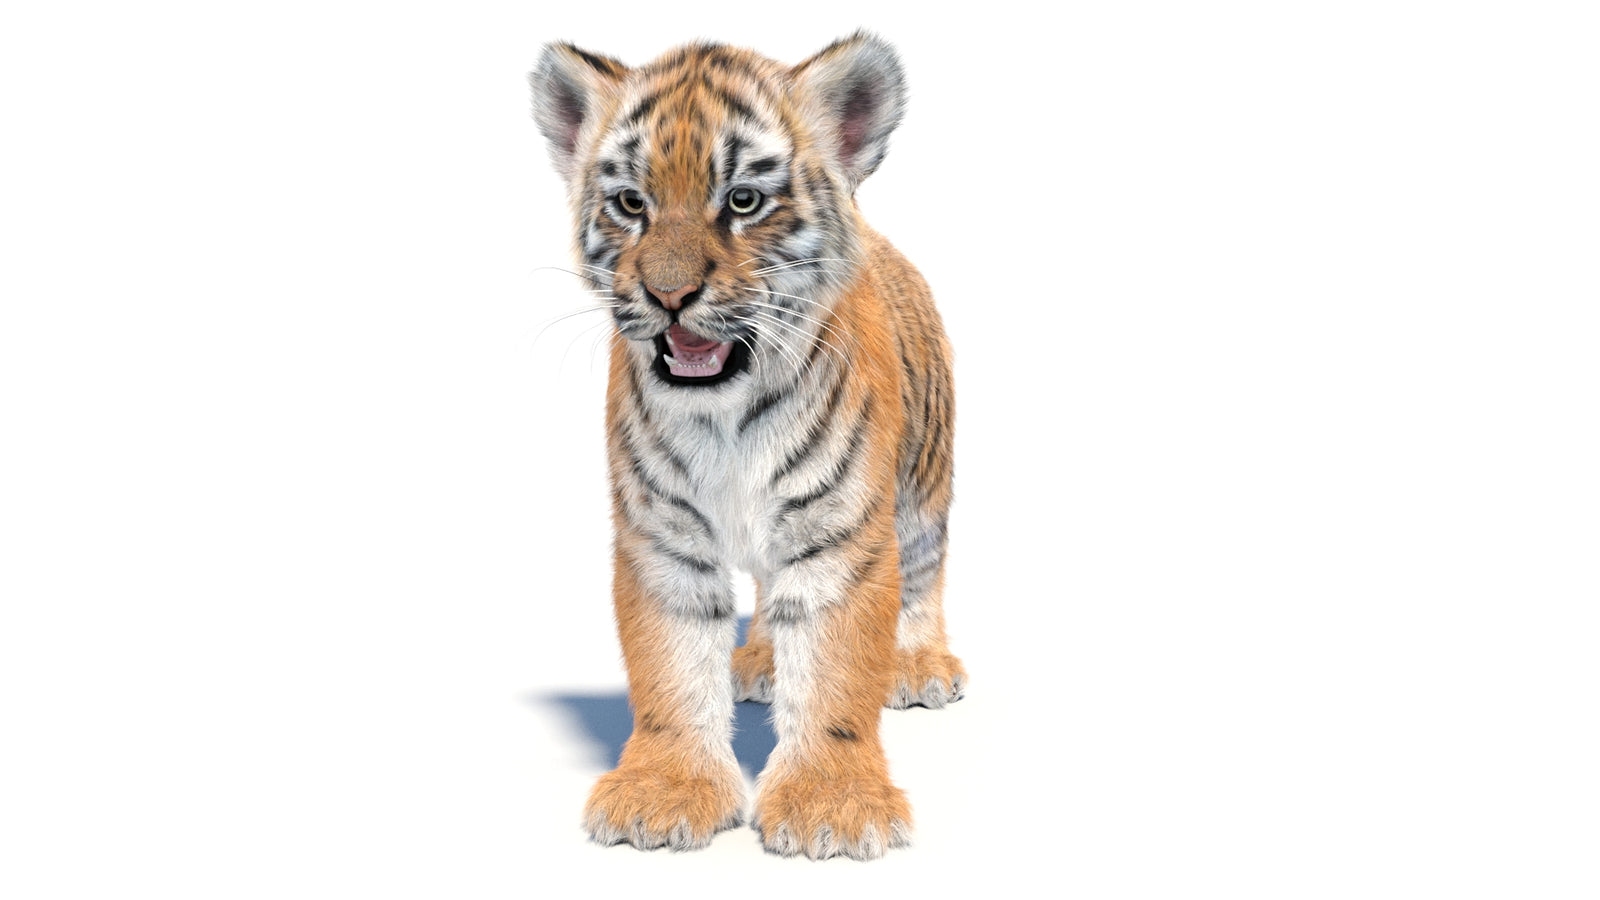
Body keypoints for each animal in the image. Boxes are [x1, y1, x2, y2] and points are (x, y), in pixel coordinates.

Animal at [529, 31, 964, 860]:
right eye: (631, 203)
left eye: (742, 201)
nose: (668, 295)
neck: (724, 420)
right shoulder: (661, 538)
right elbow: (670, 670)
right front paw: (661, 794)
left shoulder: (842, 537)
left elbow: (836, 673)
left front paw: (832, 805)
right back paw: (760, 660)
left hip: (925, 486)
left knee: (925, 577)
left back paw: (920, 666)